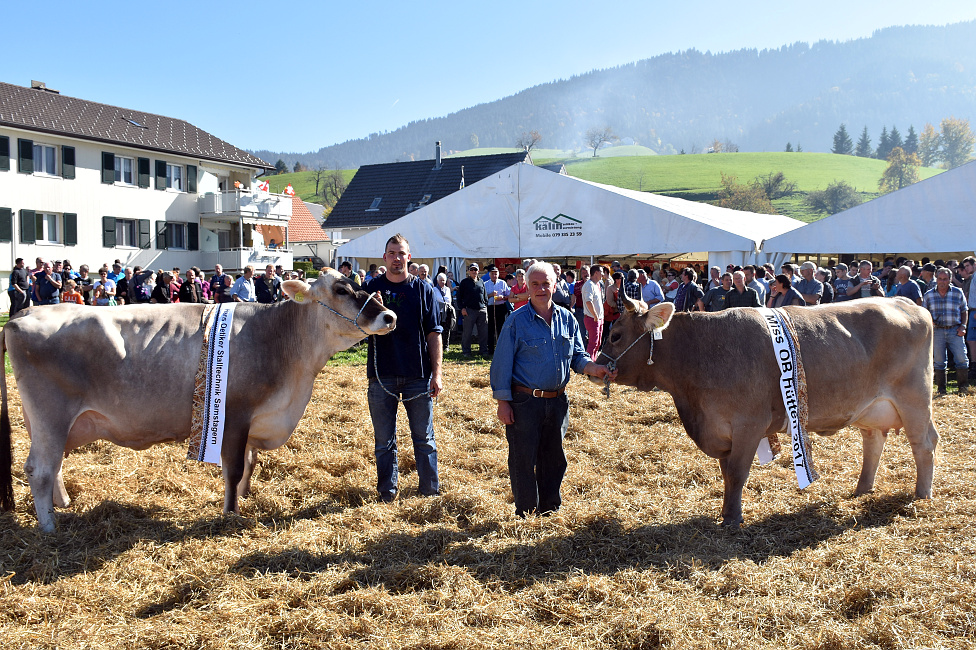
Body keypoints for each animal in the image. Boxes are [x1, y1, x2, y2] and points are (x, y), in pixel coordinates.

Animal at [1, 268, 396, 528]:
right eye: (341, 290)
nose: (390, 316)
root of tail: (23, 314)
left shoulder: (253, 422)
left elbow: (249, 464)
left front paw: (245, 497)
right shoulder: (235, 415)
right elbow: (234, 467)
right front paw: (231, 513)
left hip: (46, 422)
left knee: (53, 466)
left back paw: (63, 504)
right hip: (51, 414)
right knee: (39, 469)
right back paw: (50, 527)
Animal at [596, 294, 936, 528]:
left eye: (615, 335)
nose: (595, 367)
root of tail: (904, 302)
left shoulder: (748, 425)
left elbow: (737, 472)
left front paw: (732, 520)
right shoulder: (724, 433)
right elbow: (727, 473)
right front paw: (726, 511)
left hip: (914, 398)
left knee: (924, 444)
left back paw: (921, 496)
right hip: (871, 408)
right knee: (874, 441)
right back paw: (862, 489)